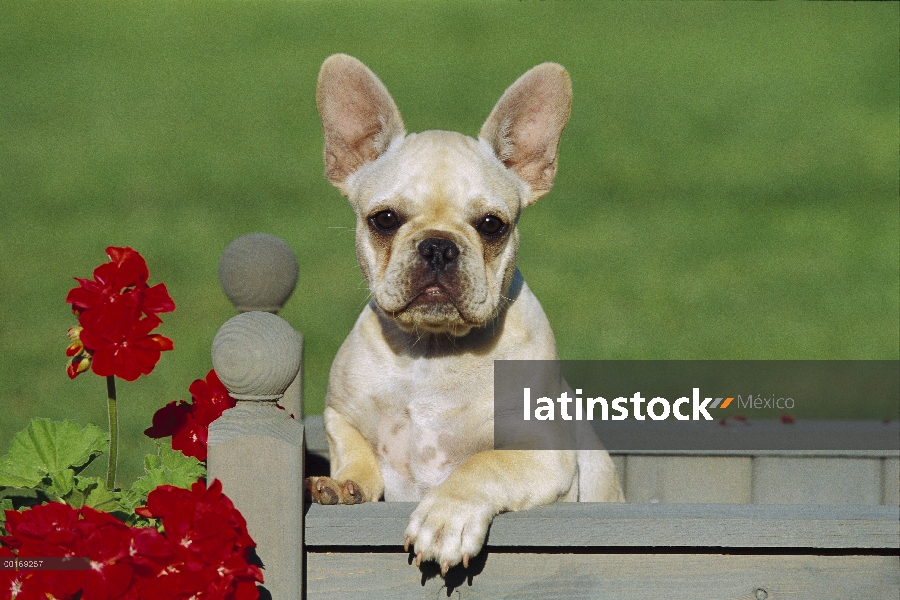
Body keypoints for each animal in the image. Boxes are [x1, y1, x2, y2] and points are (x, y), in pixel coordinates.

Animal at [306, 54, 624, 576]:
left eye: (492, 225)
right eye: (384, 219)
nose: (438, 245)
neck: (433, 352)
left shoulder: (540, 453)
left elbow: (481, 465)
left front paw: (445, 517)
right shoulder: (341, 416)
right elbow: (355, 453)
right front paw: (344, 485)